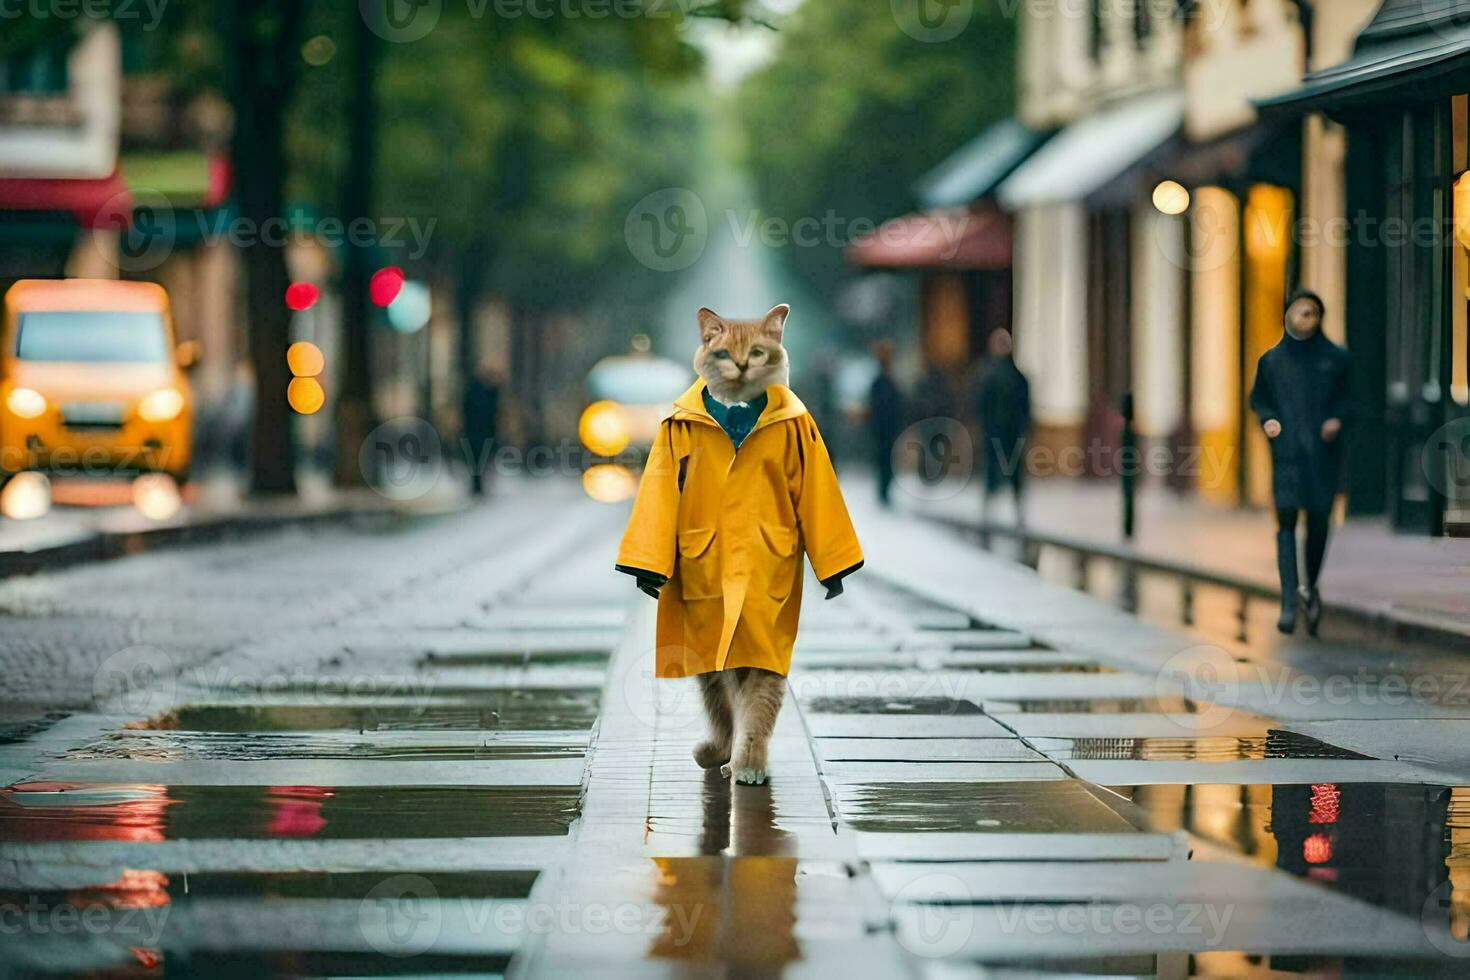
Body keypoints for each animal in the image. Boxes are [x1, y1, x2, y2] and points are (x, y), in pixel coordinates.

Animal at [617, 302, 864, 787]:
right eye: (725, 353)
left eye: (758, 351)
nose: (745, 364)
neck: (736, 406)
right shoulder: (668, 445)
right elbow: (723, 701)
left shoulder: (806, 442)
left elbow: (756, 700)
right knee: (721, 695)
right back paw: (726, 753)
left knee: (753, 695)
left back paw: (746, 762)